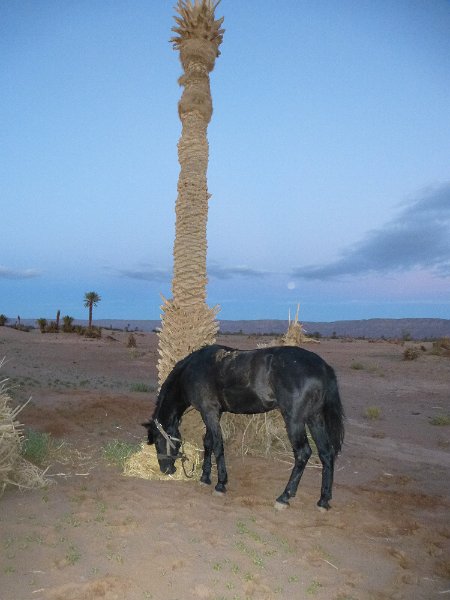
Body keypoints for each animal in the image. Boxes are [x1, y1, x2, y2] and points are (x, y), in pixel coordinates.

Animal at [144, 344, 344, 508]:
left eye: (158, 442)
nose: (166, 470)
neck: (192, 370)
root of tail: (322, 367)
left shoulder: (209, 412)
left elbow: (217, 445)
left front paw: (220, 484)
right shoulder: (213, 413)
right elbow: (208, 443)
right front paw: (205, 477)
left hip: (295, 421)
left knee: (303, 453)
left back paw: (284, 496)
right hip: (315, 418)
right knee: (326, 453)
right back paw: (323, 500)